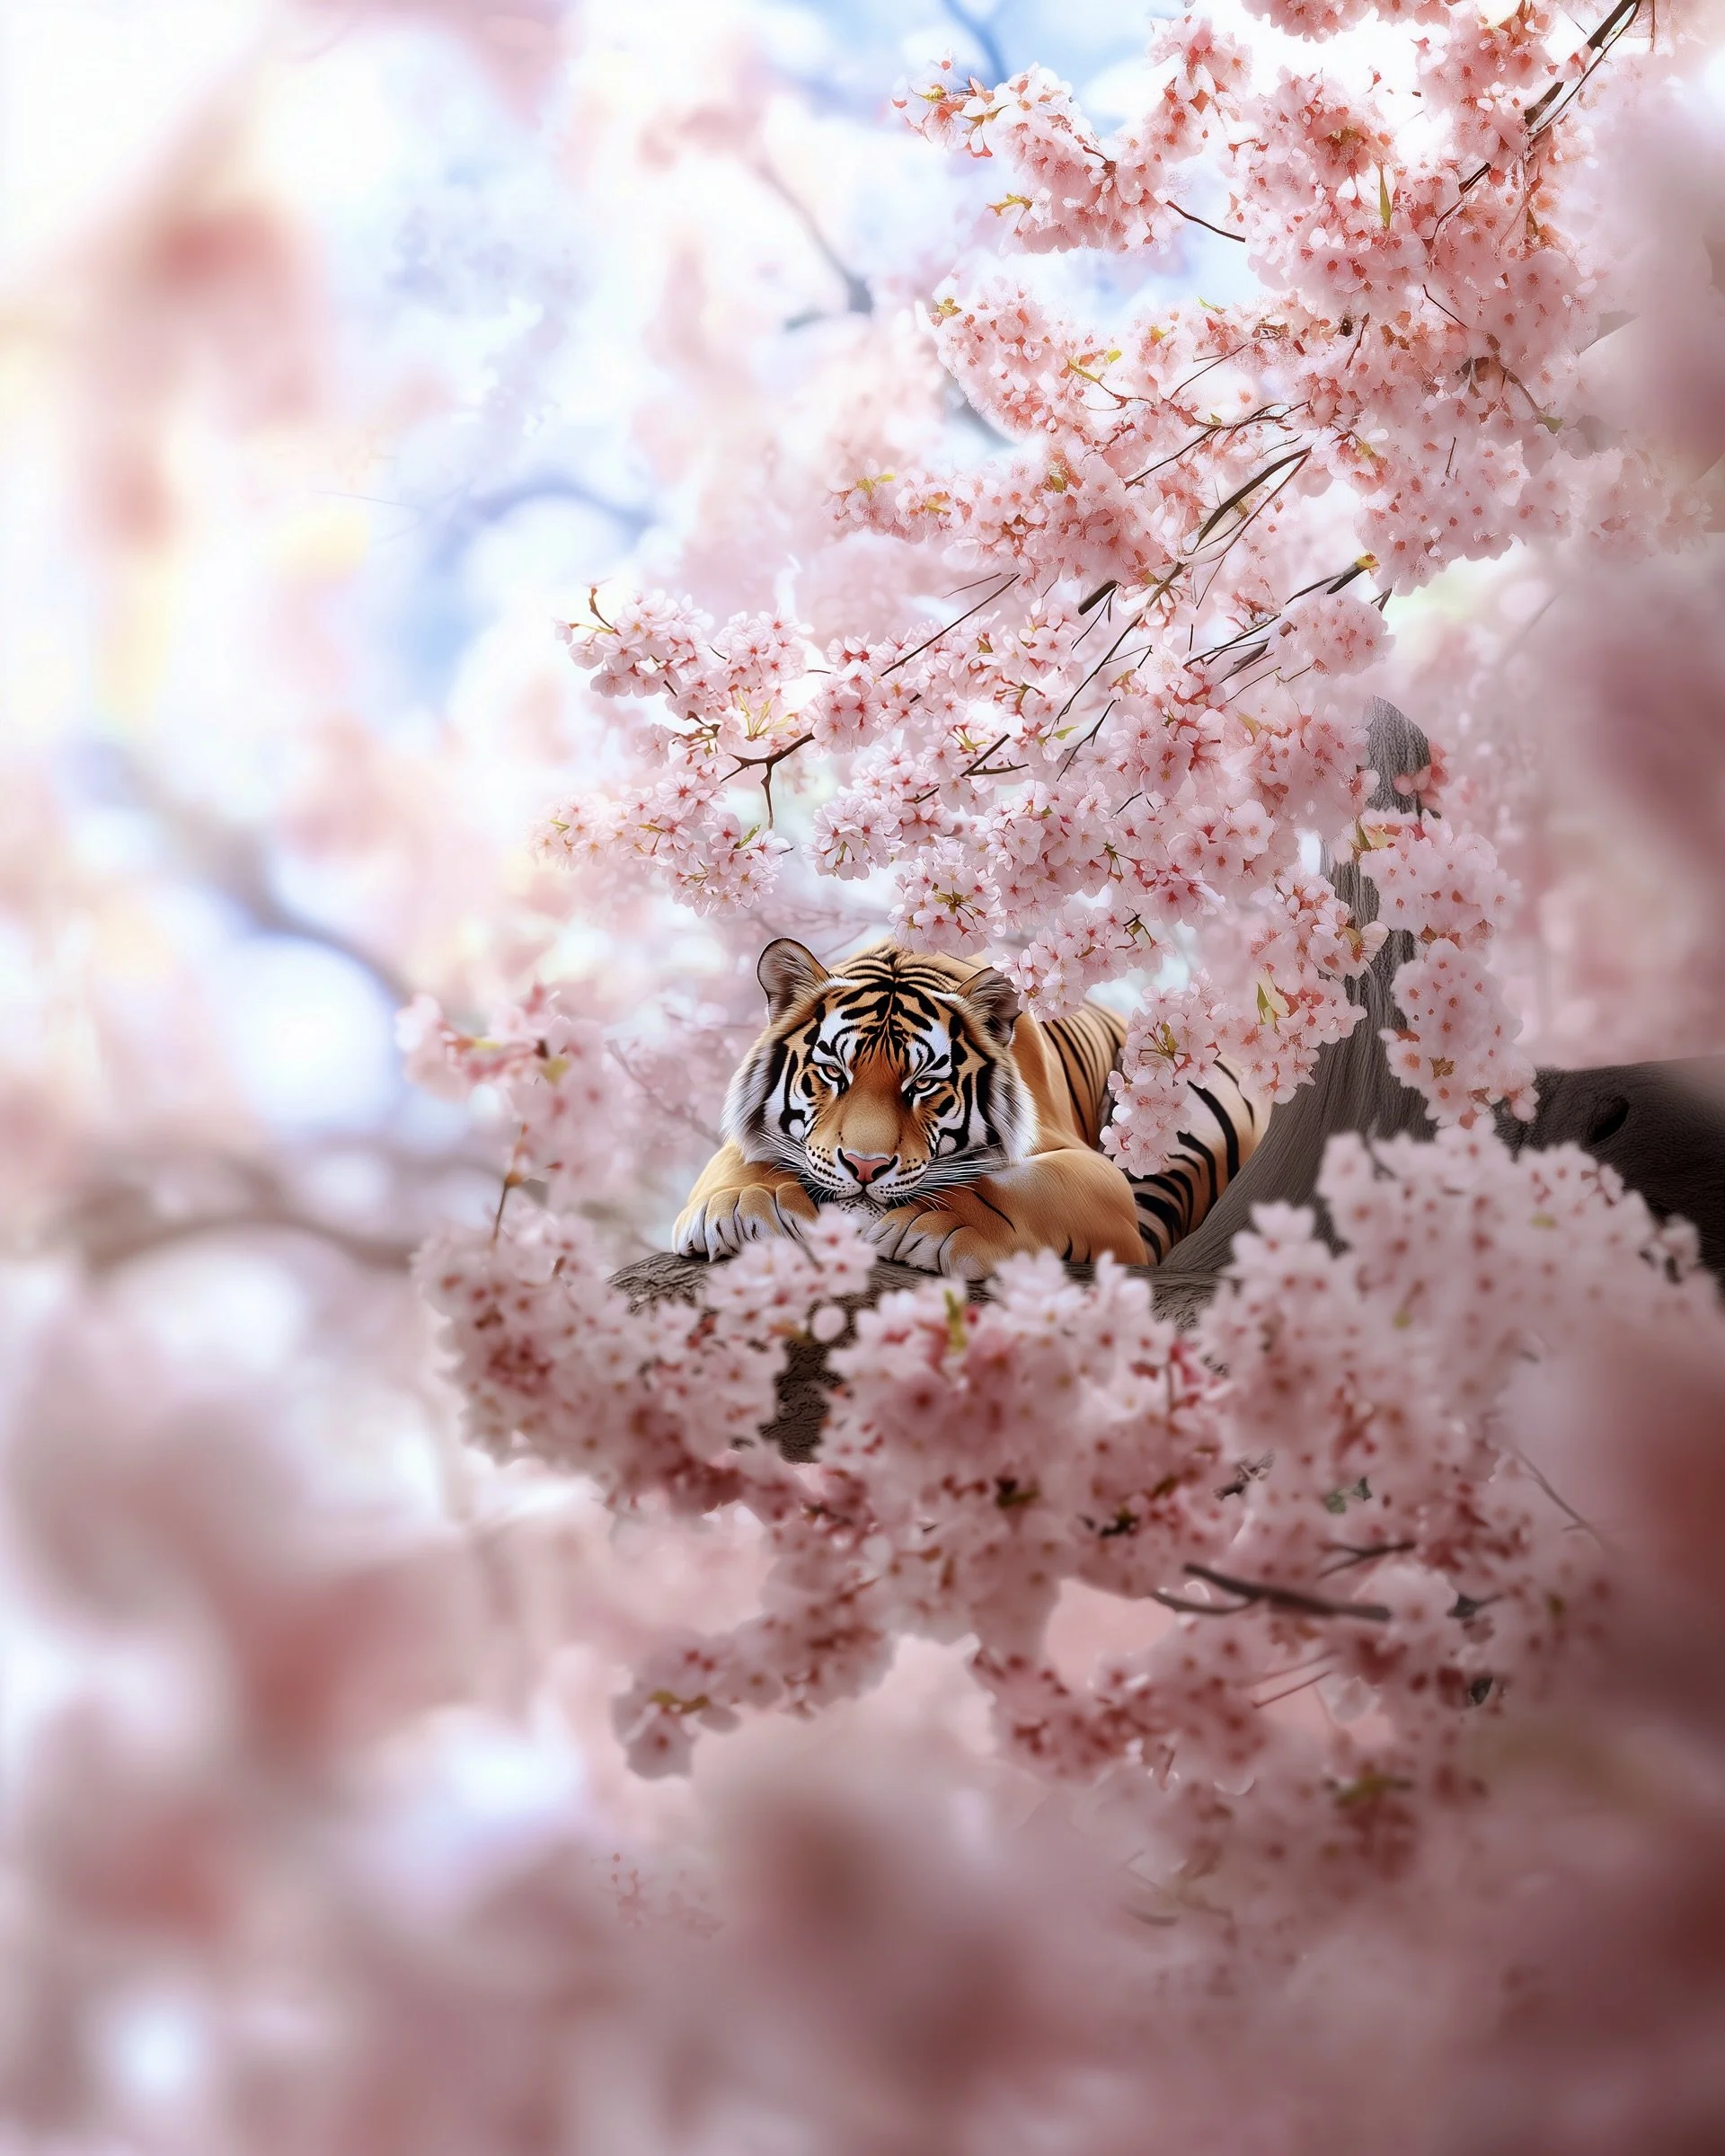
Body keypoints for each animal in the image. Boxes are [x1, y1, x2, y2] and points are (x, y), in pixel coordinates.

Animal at [673, 937, 1266, 1281]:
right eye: (834, 1073)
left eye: (923, 1083)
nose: (865, 1167)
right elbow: (738, 1156)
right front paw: (744, 1205)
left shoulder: (1094, 1174)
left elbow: (1028, 1184)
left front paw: (936, 1226)